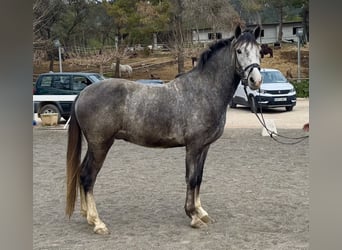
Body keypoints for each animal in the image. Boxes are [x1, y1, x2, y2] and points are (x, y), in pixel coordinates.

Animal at [66, 25, 262, 234]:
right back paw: (98, 222)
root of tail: (83, 93)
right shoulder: (193, 147)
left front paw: (201, 212)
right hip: (100, 145)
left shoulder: (205, 147)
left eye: (259, 51)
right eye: (239, 51)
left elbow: (199, 178)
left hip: (94, 146)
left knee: (82, 174)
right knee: (88, 177)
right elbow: (191, 179)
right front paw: (193, 216)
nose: (255, 80)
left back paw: (87, 216)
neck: (203, 90)